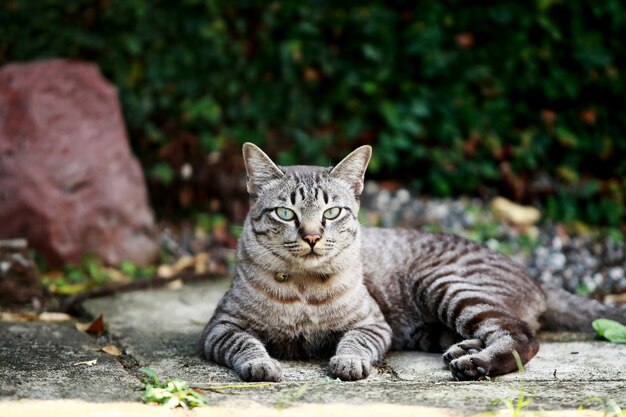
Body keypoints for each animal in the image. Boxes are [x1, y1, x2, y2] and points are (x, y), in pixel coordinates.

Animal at [200, 142, 624, 380]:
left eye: (332, 212)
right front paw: (261, 364)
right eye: (285, 214)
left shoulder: (373, 325)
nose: (312, 236)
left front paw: (347, 362)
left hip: (443, 283)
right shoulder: (219, 328)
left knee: (522, 336)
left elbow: (353, 342)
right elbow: (246, 344)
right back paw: (464, 350)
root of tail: (537, 279)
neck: (304, 289)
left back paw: (477, 364)